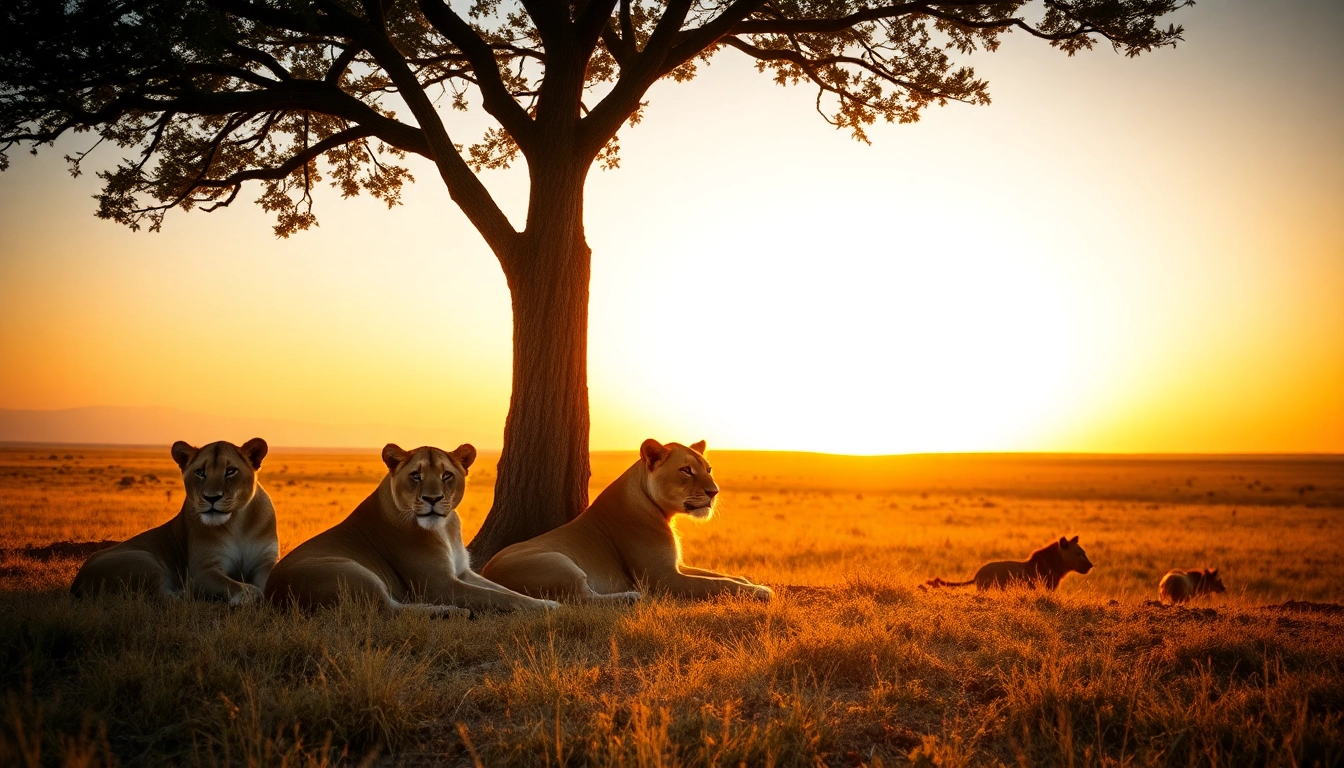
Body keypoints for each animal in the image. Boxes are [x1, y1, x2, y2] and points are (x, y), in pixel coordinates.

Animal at [71, 438, 277, 604]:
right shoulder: (202, 571)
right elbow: (241, 586)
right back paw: (186, 594)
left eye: (231, 471)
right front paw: (247, 596)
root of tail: (76, 582)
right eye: (200, 472)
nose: (211, 498)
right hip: (145, 561)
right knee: (160, 596)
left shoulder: (265, 562)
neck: (238, 524)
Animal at [264, 443, 556, 615]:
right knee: (387, 609)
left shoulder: (462, 571)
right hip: (352, 571)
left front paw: (545, 601)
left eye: (447, 475)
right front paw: (551, 607)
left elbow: (505, 590)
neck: (446, 529)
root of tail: (272, 593)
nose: (432, 499)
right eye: (416, 475)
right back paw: (451, 611)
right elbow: (498, 597)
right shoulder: (438, 584)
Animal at [481, 439, 772, 602]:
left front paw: (750, 581)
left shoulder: (676, 565)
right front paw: (761, 592)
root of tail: (487, 573)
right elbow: (718, 584)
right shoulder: (663, 578)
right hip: (558, 561)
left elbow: (719, 574)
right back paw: (630, 597)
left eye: (708, 469)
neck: (661, 511)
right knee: (582, 600)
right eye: (686, 470)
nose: (715, 492)